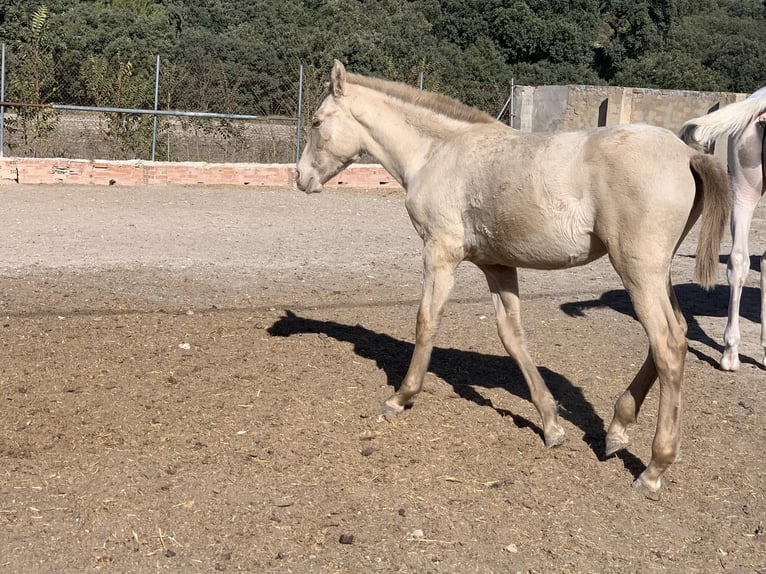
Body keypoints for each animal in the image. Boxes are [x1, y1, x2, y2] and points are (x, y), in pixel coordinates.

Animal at [298, 60, 732, 498]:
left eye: (317, 121)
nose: (300, 177)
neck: (437, 153)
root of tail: (688, 155)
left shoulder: (439, 253)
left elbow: (426, 321)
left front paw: (401, 397)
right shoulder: (497, 265)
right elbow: (511, 334)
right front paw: (551, 424)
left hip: (637, 269)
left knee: (667, 345)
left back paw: (653, 469)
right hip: (656, 272)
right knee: (676, 333)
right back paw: (616, 430)